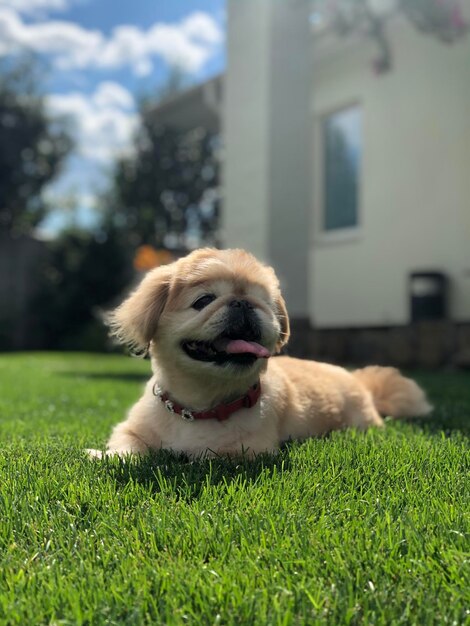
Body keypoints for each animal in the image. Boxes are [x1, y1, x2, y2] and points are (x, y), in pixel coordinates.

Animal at [86, 245, 432, 458]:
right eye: (203, 301)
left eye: (264, 303)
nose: (243, 302)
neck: (200, 408)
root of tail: (360, 382)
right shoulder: (131, 430)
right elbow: (128, 448)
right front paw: (104, 456)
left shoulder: (246, 452)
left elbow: (201, 455)